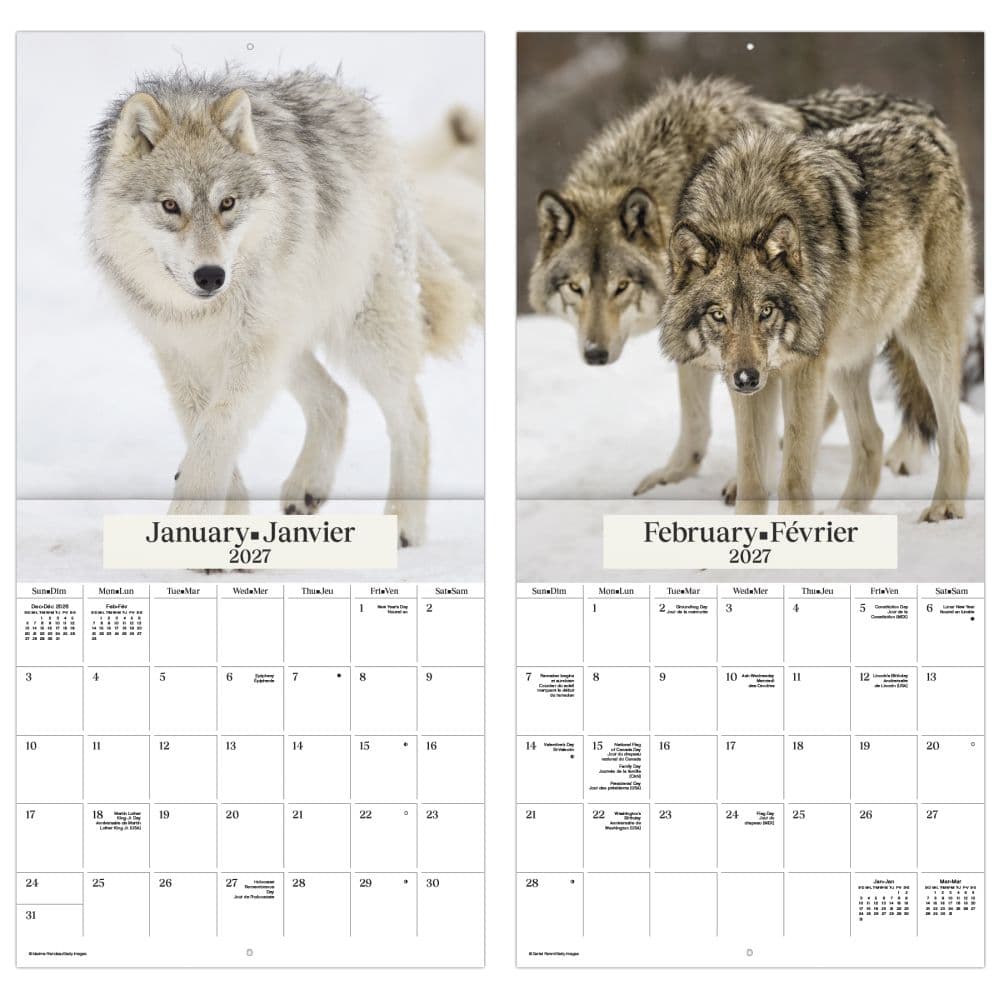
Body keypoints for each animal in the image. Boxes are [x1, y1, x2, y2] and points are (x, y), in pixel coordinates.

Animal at [88, 69, 476, 547]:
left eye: (227, 204)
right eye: (170, 206)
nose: (211, 276)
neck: (201, 313)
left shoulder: (252, 351)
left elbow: (216, 431)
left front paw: (190, 516)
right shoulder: (181, 355)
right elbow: (203, 431)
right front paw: (223, 525)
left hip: (358, 336)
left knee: (412, 415)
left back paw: (404, 523)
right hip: (289, 341)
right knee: (335, 397)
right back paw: (309, 485)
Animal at [528, 78, 940, 498]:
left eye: (621, 286)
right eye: (575, 287)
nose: (594, 353)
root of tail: (925, 114)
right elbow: (694, 416)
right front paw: (674, 474)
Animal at [659, 116, 972, 522]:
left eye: (766, 311)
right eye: (719, 315)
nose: (747, 377)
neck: (743, 212)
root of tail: (926, 130)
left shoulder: (803, 369)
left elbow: (793, 472)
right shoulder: (752, 385)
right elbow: (752, 473)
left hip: (926, 343)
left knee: (956, 434)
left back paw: (944, 508)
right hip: (842, 360)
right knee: (871, 439)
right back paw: (847, 515)